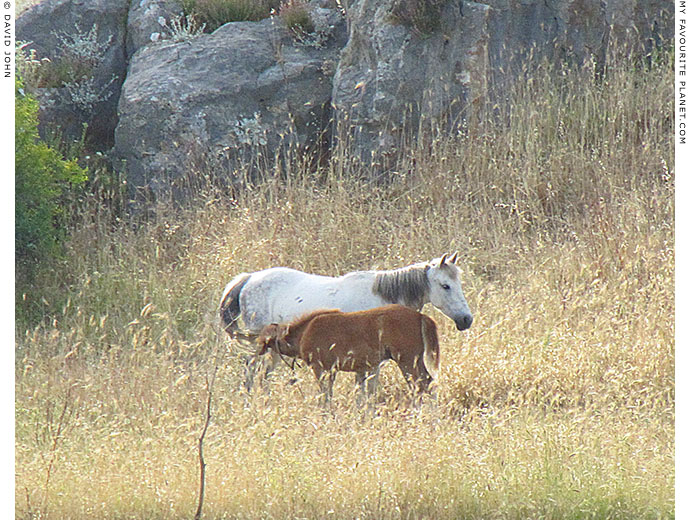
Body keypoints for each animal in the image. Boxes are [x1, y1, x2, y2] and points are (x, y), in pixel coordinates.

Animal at [222, 252, 472, 390]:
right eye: (446, 286)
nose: (466, 320)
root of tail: (249, 279)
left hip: (274, 350)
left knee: (264, 375)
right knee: (251, 369)